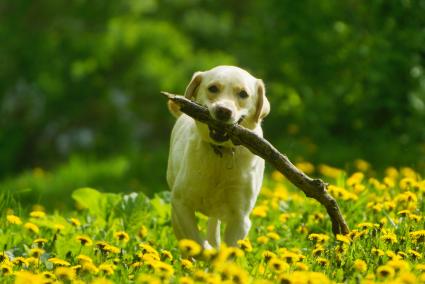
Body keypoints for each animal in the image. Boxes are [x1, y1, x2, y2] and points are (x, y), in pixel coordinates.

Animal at [166, 65, 268, 247]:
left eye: (243, 94)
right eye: (213, 88)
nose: (223, 111)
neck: (222, 153)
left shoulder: (240, 219)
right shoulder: (181, 203)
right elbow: (196, 242)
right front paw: (206, 250)